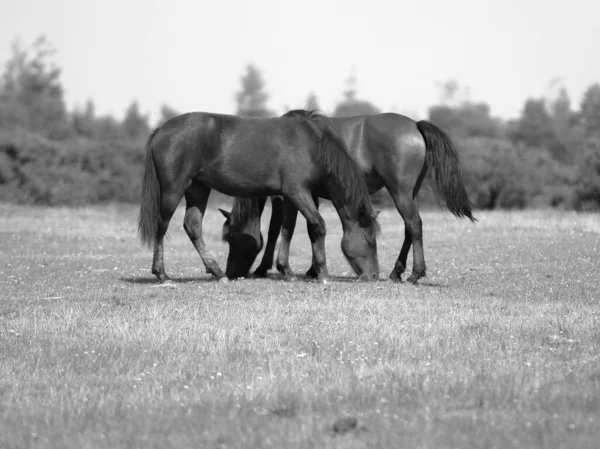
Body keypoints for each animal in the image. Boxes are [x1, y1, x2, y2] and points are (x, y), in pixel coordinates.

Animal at [137, 110, 380, 282]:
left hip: (198, 188)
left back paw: (218, 273)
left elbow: (288, 229)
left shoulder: (291, 196)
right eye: (370, 241)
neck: (313, 146)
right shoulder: (297, 192)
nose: (374, 276)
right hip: (174, 189)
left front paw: (287, 271)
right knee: (162, 226)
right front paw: (323, 274)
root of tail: (162, 130)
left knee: (193, 226)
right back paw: (162, 275)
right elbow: (318, 226)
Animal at [219, 110, 474, 282]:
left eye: (231, 238)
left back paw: (414, 274)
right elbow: (303, 228)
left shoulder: (284, 196)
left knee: (414, 225)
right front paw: (311, 270)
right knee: (409, 229)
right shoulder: (308, 194)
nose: (232, 273)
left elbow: (279, 229)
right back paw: (396, 272)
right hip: (410, 193)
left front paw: (266, 268)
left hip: (400, 192)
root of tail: (415, 124)